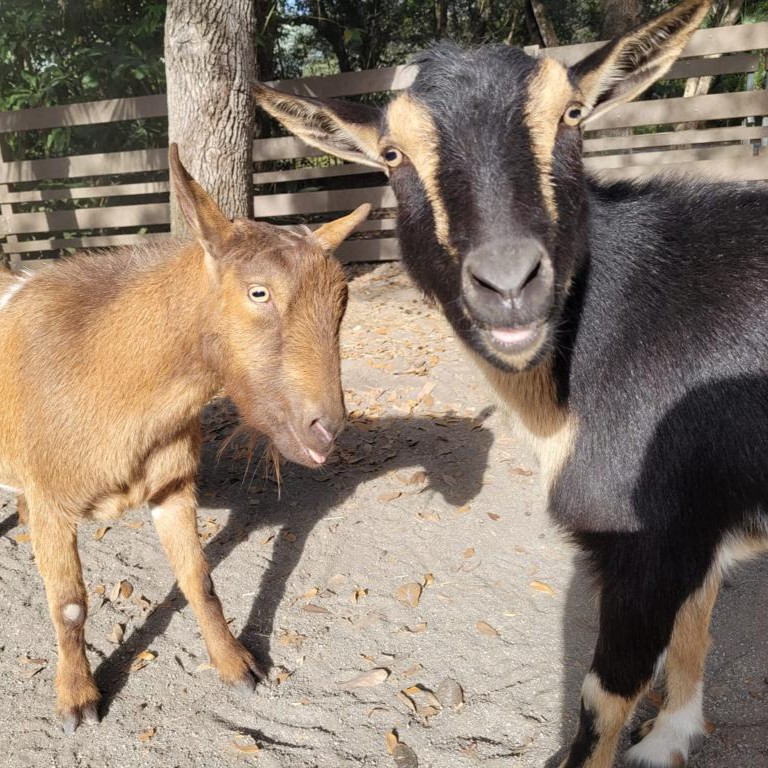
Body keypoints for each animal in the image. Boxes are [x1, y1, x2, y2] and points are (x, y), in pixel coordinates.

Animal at [0, 144, 369, 732]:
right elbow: (70, 603)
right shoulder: (53, 500)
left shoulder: (172, 486)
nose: (326, 426)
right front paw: (77, 699)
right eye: (258, 292)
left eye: (343, 301)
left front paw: (236, 665)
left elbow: (199, 578)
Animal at [254, 1, 768, 765]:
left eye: (573, 114)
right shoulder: (693, 526)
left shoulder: (647, 537)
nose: (507, 283)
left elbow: (603, 696)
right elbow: (693, 627)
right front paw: (671, 737)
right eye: (391, 153)